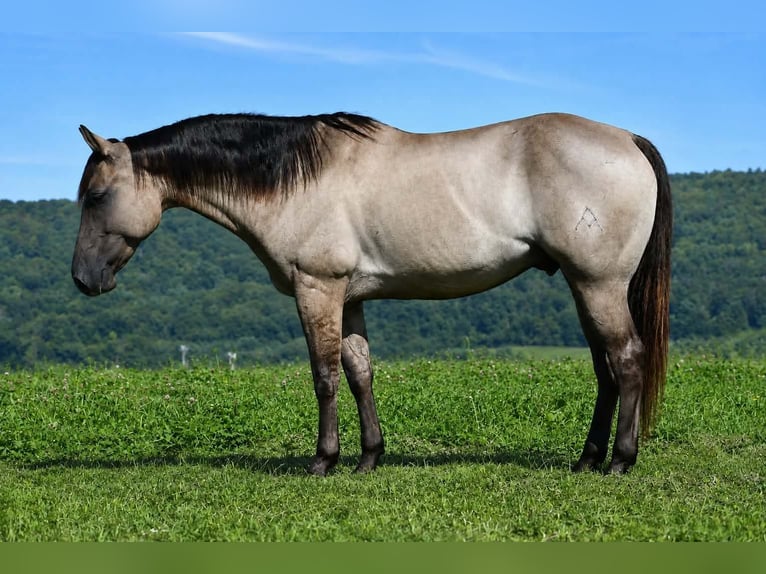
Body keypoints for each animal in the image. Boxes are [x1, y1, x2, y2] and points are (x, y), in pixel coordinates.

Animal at [72, 111, 671, 475]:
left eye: (97, 196)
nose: (83, 278)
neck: (295, 180)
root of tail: (627, 139)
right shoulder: (350, 298)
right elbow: (360, 373)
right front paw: (369, 457)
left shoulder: (317, 289)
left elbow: (325, 376)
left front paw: (323, 461)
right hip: (582, 285)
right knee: (604, 369)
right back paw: (588, 459)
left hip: (598, 284)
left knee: (627, 359)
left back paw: (620, 460)